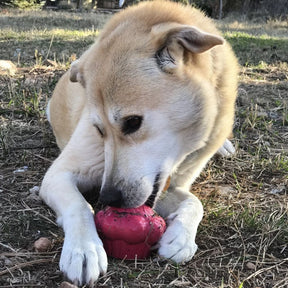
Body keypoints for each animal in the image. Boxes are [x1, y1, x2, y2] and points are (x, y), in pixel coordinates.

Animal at [40, 1, 238, 286]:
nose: (108, 198)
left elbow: (195, 202)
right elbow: (79, 206)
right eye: (98, 129)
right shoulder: (58, 174)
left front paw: (180, 238)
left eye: (133, 122)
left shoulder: (169, 185)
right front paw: (84, 249)